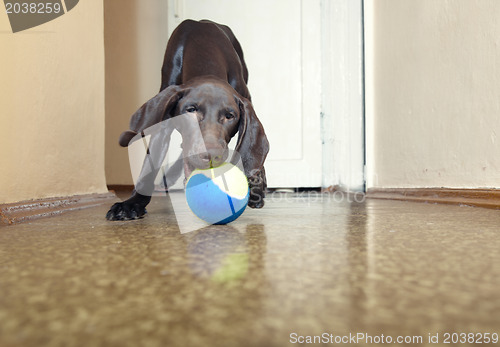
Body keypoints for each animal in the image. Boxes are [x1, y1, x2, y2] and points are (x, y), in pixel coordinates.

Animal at [106, 19, 270, 220]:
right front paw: (131, 203)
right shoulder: (163, 120)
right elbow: (149, 165)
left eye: (230, 116)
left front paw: (256, 186)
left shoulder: (244, 98)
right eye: (190, 110)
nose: (211, 155)